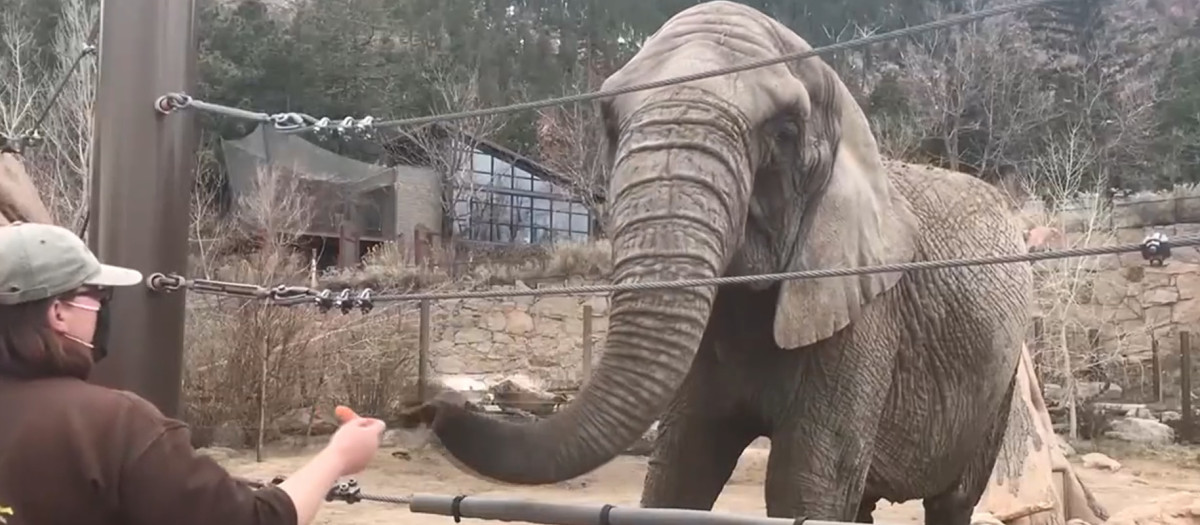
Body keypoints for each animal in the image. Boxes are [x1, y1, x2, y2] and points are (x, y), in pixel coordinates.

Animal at [400, 1, 1032, 525]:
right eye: (609, 122)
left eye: (784, 132)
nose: (438, 407)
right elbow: (680, 471)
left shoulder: (865, 315)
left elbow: (804, 486)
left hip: (1002, 379)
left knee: (950, 502)